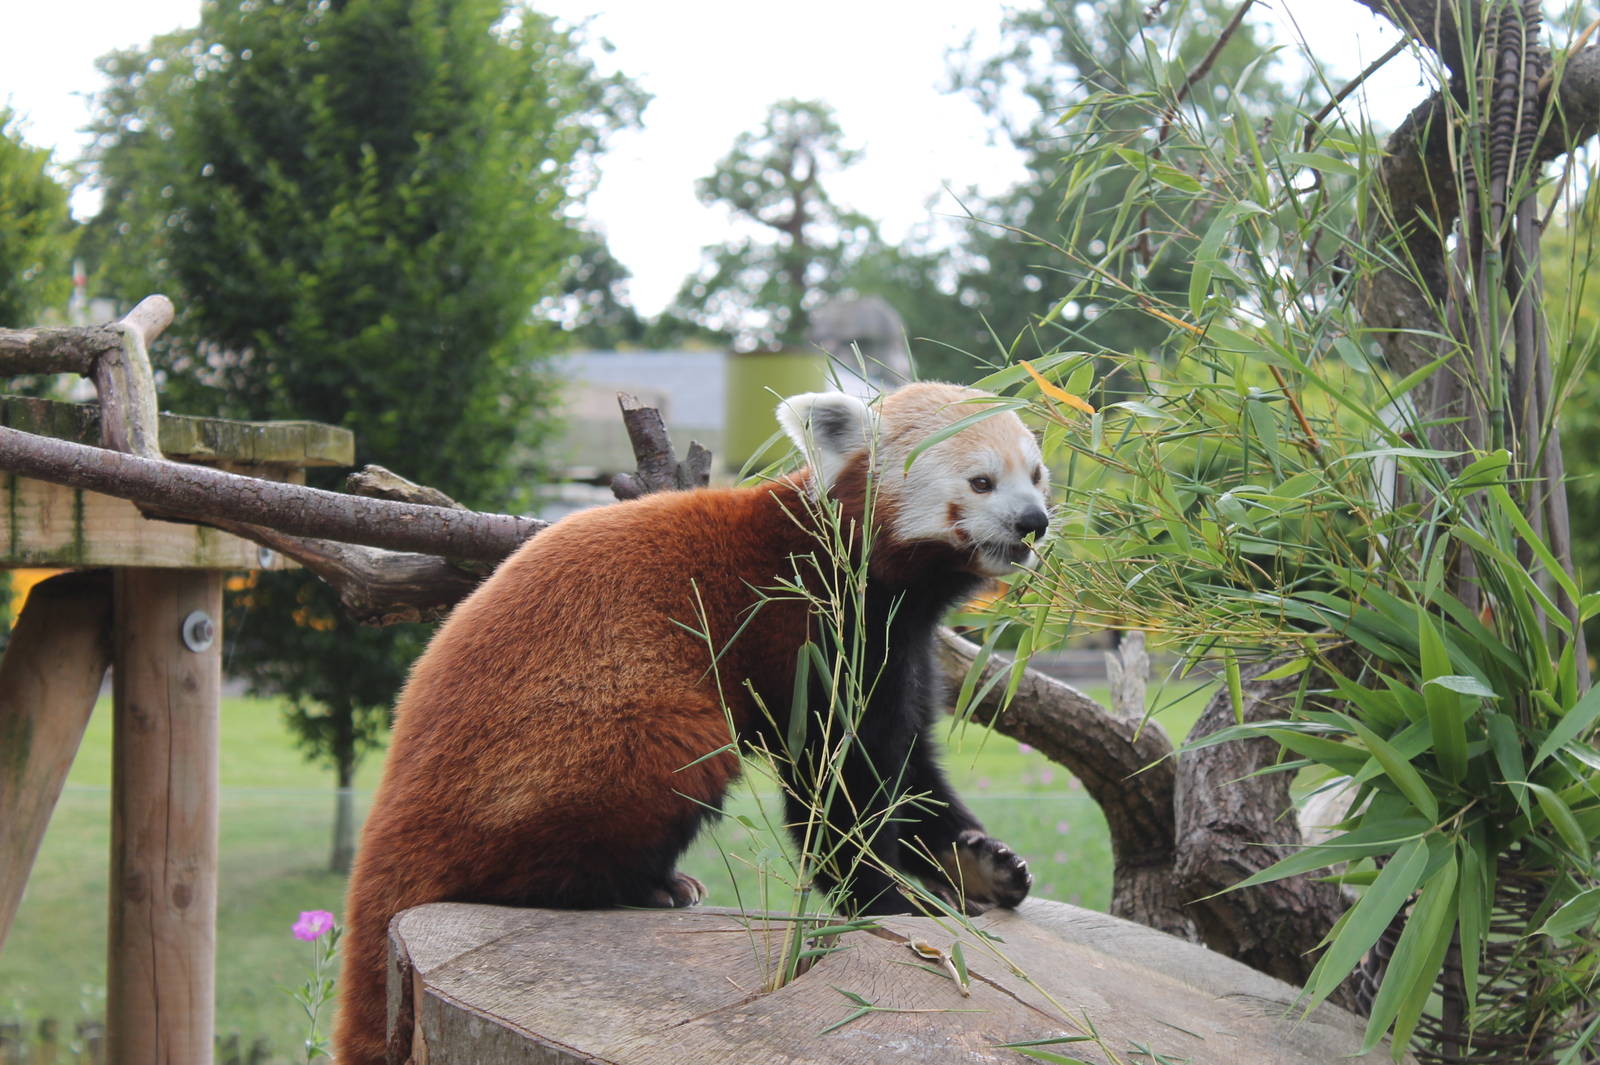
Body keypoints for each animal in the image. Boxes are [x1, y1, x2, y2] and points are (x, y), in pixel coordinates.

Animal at [334, 381, 1049, 1065]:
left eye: (1036, 475)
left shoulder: (903, 646)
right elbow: (839, 781)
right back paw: (634, 886)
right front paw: (892, 898)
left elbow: (909, 766)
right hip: (604, 735)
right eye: (981, 481)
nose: (1034, 523)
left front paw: (979, 862)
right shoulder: (811, 629)